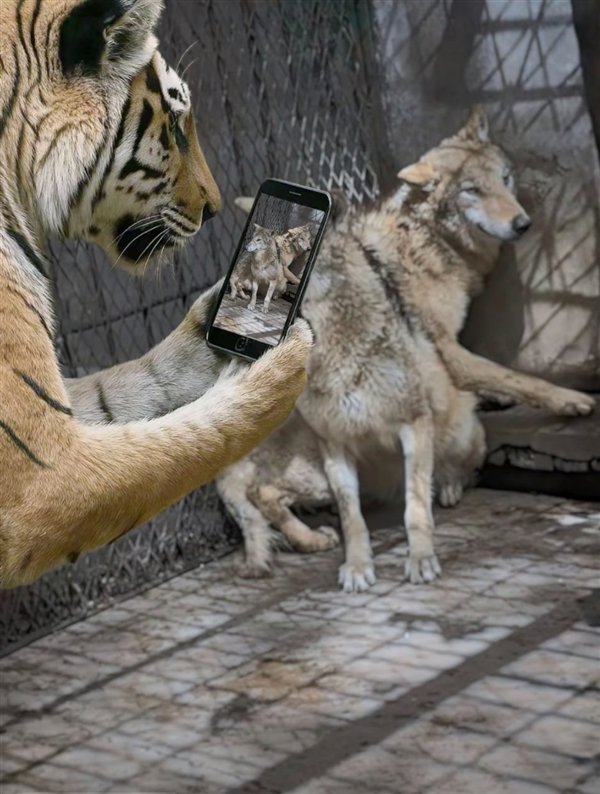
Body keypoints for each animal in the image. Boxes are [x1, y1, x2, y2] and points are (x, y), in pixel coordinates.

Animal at [0, 0, 312, 588]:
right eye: (174, 126)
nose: (215, 208)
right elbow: (189, 440)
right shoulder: (37, 473)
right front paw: (280, 370)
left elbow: (132, 387)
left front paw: (213, 325)